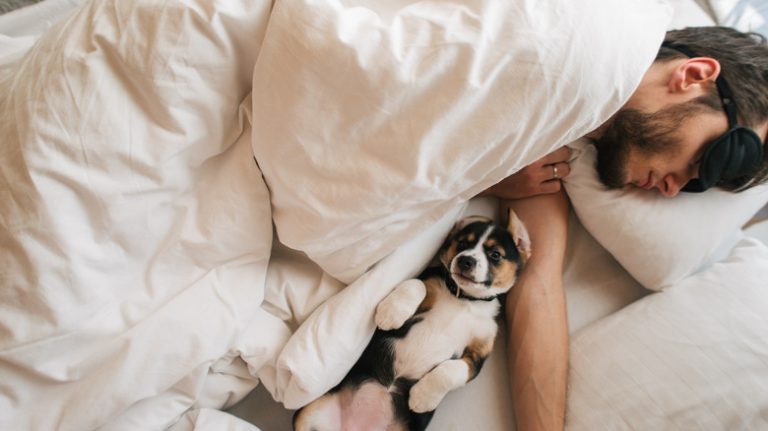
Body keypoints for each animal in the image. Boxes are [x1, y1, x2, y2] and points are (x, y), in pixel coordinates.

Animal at [292, 210, 528, 431]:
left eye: (495, 255)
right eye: (462, 243)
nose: (465, 260)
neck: (465, 299)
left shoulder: (478, 356)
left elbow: (451, 371)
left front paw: (422, 397)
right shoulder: (427, 280)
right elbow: (416, 283)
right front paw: (391, 313)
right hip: (309, 412)